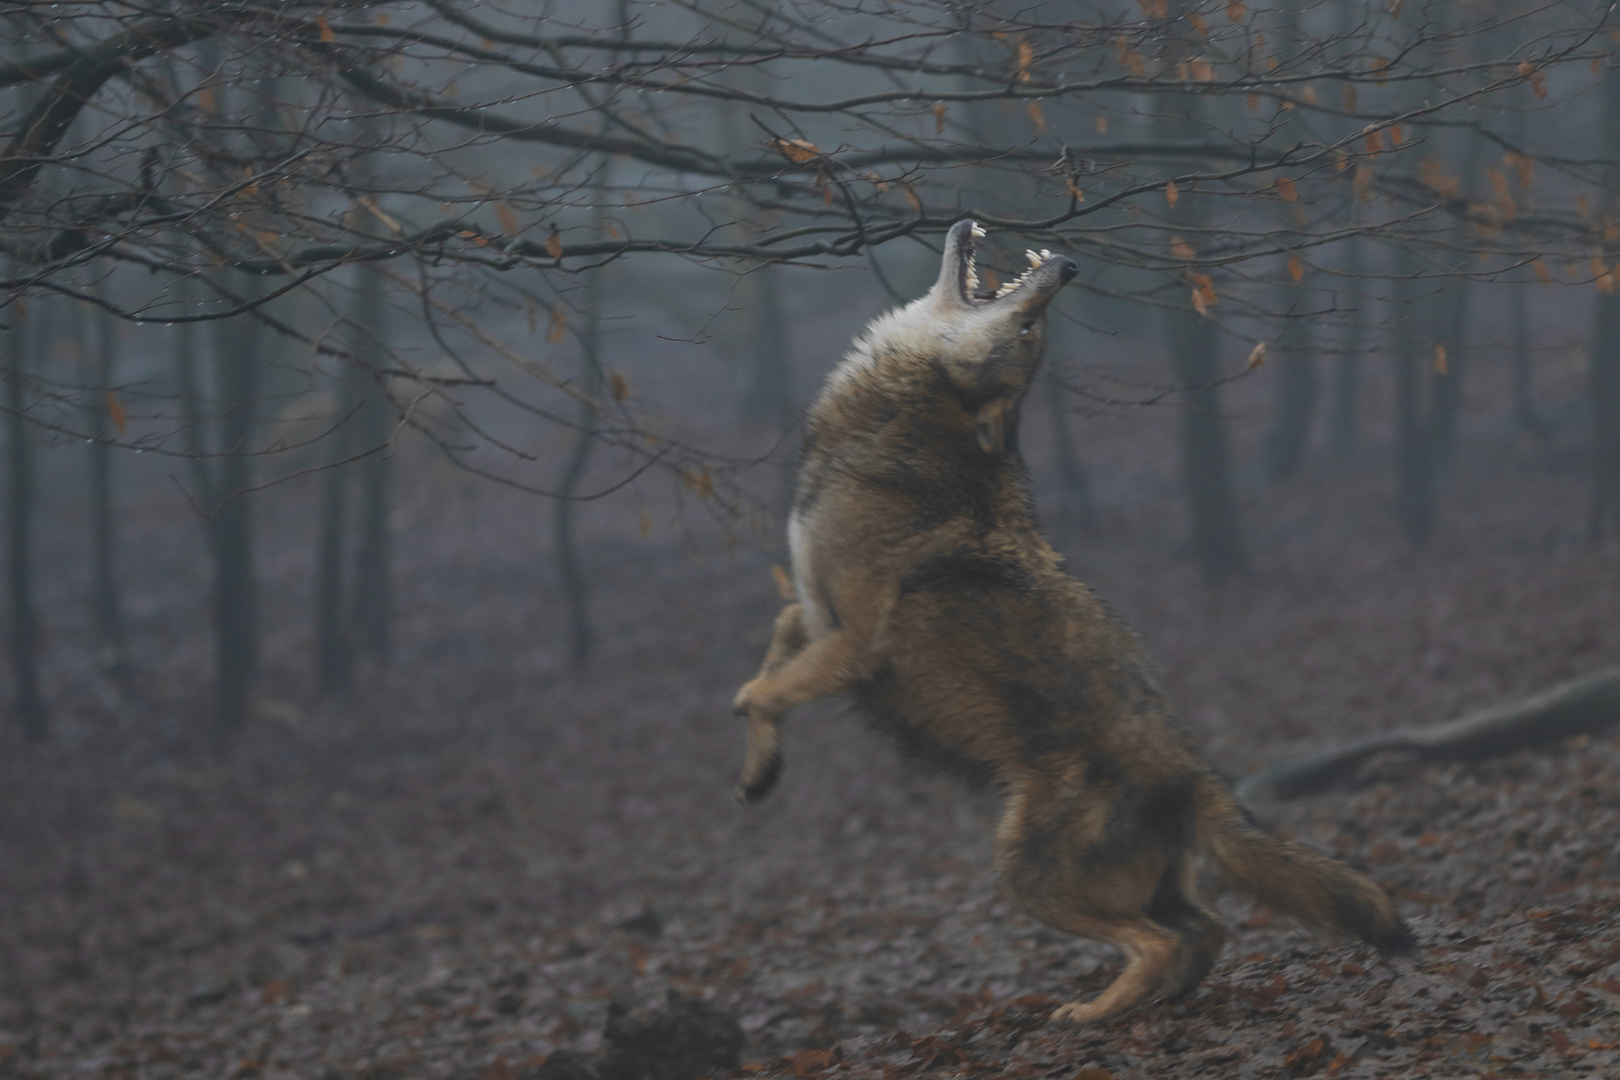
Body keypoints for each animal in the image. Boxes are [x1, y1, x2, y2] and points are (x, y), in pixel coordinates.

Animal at [729, 220, 1412, 1023]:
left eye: (1032, 331)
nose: (1069, 265)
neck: (900, 422)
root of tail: (1196, 778)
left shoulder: (855, 644)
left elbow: (764, 690)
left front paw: (754, 739)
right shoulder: (813, 610)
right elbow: (776, 643)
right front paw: (758, 771)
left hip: (1027, 875)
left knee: (1161, 942)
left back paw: (1091, 1016)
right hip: (1123, 882)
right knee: (1207, 928)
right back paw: (1156, 1004)